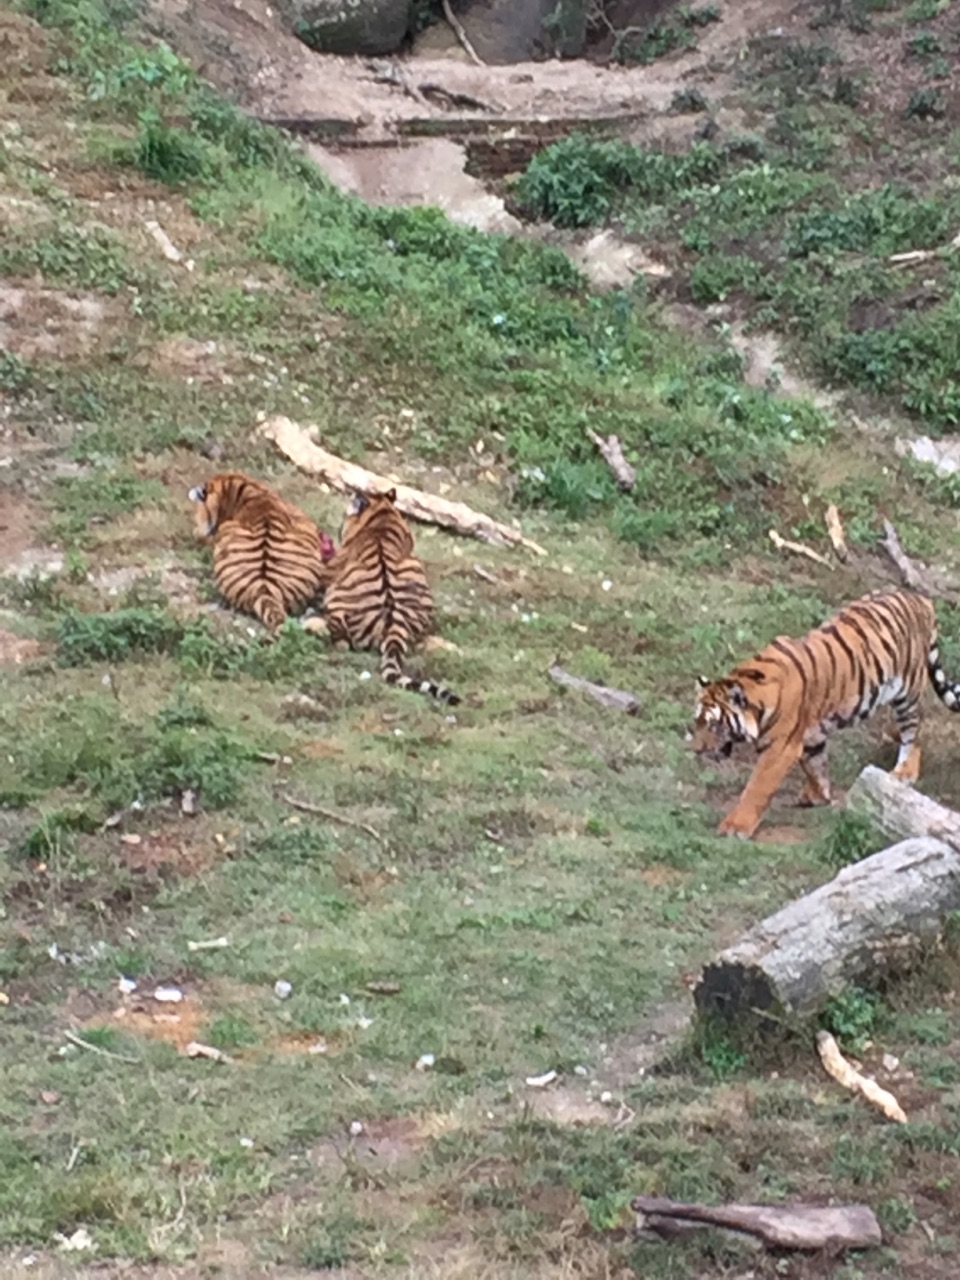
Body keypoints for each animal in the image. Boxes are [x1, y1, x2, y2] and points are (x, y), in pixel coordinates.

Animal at [696, 588, 960, 839]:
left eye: (714, 725)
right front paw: (818, 794)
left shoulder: (780, 748)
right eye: (696, 722)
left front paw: (734, 827)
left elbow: (757, 787)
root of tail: (920, 598)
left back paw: (904, 771)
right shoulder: (811, 734)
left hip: (908, 691)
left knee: (913, 734)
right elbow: (815, 765)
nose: (696, 750)